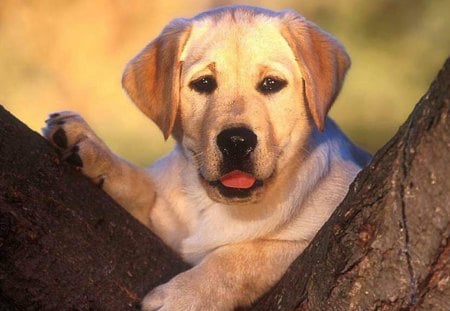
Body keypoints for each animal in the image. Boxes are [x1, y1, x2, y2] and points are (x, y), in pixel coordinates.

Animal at [44, 5, 370, 311]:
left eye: (271, 84)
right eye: (203, 84)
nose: (236, 141)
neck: (219, 207)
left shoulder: (323, 228)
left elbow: (246, 255)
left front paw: (183, 296)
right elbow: (144, 189)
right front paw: (89, 148)